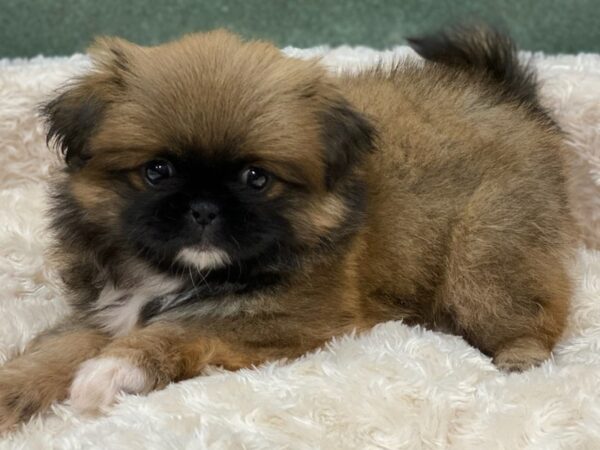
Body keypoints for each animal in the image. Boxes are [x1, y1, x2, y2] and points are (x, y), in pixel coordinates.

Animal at [0, 25, 576, 432]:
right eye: (157, 171)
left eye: (256, 178)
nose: (204, 209)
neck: (177, 273)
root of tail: (507, 99)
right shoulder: (107, 308)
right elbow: (56, 349)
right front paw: (14, 391)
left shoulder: (294, 318)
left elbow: (181, 328)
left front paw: (117, 370)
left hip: (485, 252)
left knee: (528, 305)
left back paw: (519, 355)